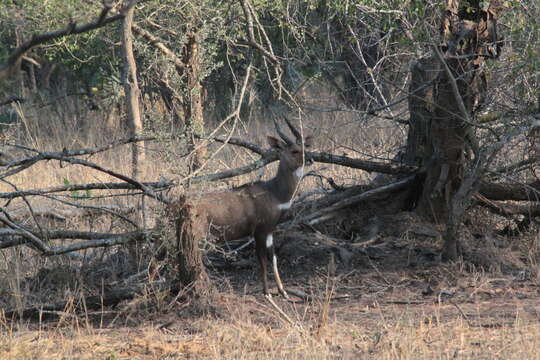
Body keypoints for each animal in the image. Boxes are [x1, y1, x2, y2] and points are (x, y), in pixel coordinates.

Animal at [175, 118, 312, 298]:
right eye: (294, 151)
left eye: (305, 147)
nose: (311, 160)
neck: (275, 193)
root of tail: (180, 205)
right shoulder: (259, 231)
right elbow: (261, 259)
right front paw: (267, 293)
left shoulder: (270, 230)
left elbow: (273, 257)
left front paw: (283, 291)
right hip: (198, 235)